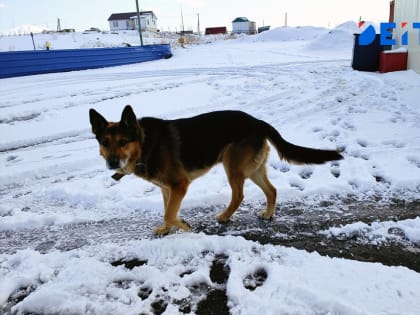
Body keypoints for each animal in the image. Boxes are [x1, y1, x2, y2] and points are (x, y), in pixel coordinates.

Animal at [90, 106, 342, 235]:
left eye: (123, 142)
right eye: (104, 142)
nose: (112, 163)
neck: (145, 143)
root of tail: (258, 122)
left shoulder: (180, 186)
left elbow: (169, 213)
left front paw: (184, 226)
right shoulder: (166, 189)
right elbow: (167, 211)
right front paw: (167, 228)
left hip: (234, 168)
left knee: (239, 195)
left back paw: (224, 216)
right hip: (253, 170)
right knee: (272, 190)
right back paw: (268, 214)